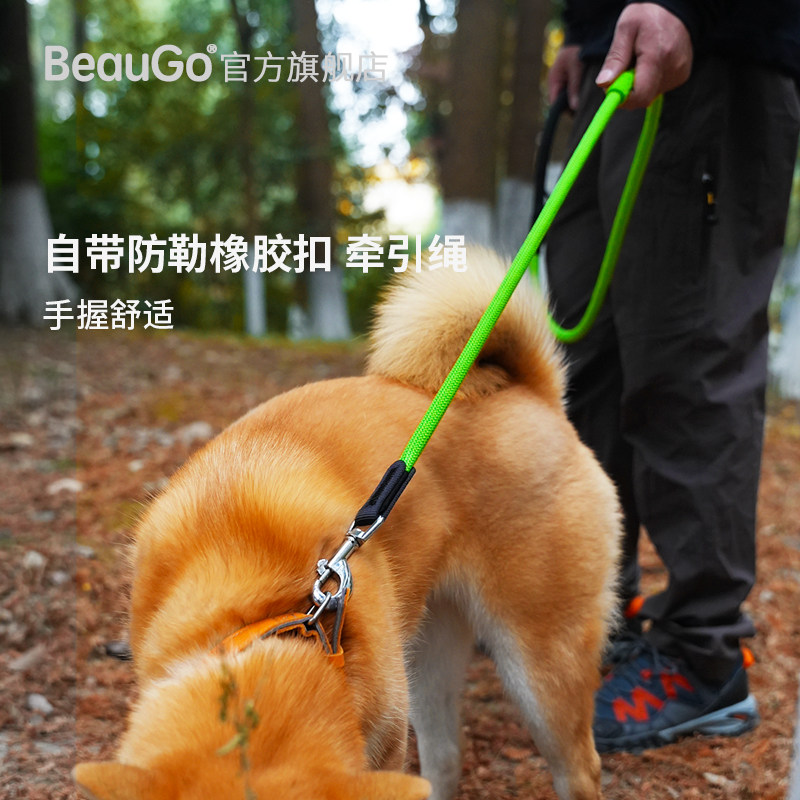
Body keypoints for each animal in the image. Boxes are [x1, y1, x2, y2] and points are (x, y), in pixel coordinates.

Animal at [74, 247, 620, 800]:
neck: (260, 611)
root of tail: (531, 394)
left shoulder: (385, 738)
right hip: (427, 651)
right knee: (445, 758)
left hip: (540, 664)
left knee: (579, 766)